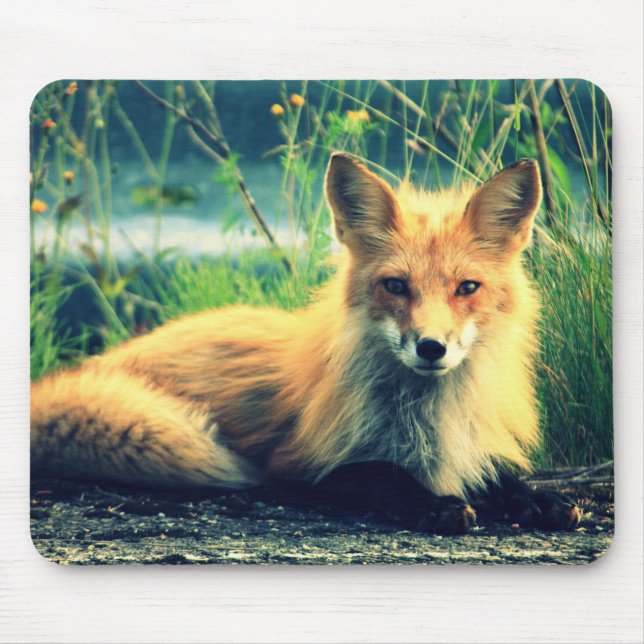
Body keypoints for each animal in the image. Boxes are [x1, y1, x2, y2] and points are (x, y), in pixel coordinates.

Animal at [31, 153, 581, 534]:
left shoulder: (467, 443)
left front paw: (537, 499)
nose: (430, 348)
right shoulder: (298, 464)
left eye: (467, 288)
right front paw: (436, 504)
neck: (427, 416)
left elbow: (497, 474)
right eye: (395, 285)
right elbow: (380, 474)